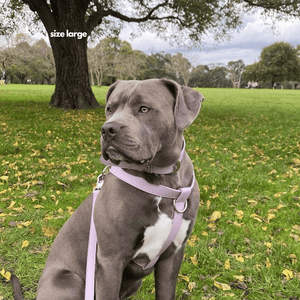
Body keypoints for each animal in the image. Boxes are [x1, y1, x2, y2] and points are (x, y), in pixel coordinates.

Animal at [19, 78, 204, 298]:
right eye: (110, 109)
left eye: (144, 108)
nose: (107, 129)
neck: (162, 178)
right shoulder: (110, 260)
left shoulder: (172, 256)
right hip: (69, 281)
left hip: (134, 283)